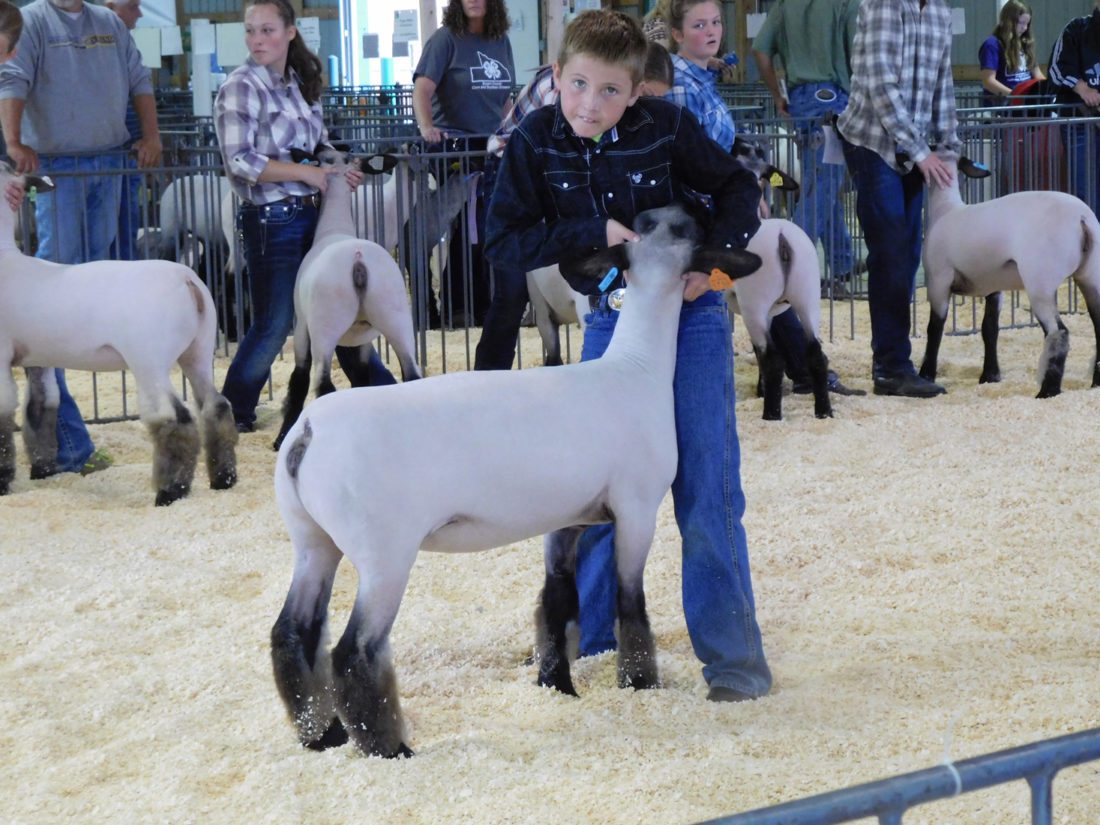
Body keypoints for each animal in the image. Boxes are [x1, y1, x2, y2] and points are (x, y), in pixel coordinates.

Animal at [0, 164, 238, 506]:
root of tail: (187, 279)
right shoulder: (38, 358)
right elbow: (40, 408)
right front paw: (42, 470)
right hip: (198, 350)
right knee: (215, 406)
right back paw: (224, 478)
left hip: (149, 359)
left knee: (174, 417)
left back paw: (171, 490)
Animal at [268, 204, 762, 757]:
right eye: (676, 227)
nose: (687, 208)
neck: (637, 368)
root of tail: (307, 431)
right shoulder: (636, 508)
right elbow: (629, 603)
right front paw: (640, 683)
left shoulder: (567, 518)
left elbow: (556, 601)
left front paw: (556, 683)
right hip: (384, 552)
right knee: (355, 652)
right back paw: (389, 749)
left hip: (313, 540)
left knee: (291, 633)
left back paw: (321, 734)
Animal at [272, 150, 424, 451]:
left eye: (323, 157)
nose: (319, 146)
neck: (334, 229)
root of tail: (358, 261)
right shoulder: (363, 337)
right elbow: (363, 377)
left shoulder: (302, 327)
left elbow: (299, 378)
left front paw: (281, 437)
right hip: (397, 317)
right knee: (412, 374)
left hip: (325, 326)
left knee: (322, 384)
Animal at [918, 155, 1100, 398]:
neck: (946, 209)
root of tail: (1082, 218)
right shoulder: (994, 285)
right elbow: (989, 329)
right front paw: (990, 376)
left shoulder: (939, 280)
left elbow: (935, 328)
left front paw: (927, 374)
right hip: (1091, 276)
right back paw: (1095, 382)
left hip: (1040, 281)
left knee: (1058, 333)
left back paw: (1047, 390)